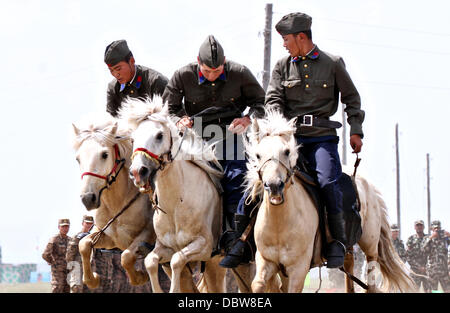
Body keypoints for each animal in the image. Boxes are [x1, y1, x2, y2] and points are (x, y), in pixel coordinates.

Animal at [73, 114, 157, 288]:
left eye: (104, 154)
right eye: (78, 159)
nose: (87, 198)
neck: (118, 203)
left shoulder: (148, 234)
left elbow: (126, 257)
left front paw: (140, 277)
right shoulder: (109, 238)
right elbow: (83, 245)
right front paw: (92, 279)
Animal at [118, 97, 253, 292]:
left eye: (159, 135)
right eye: (133, 139)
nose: (137, 172)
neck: (176, 203)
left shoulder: (204, 245)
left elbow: (177, 260)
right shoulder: (165, 247)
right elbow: (151, 261)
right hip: (213, 266)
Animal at [244, 109, 414, 292]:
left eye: (287, 151)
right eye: (258, 155)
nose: (274, 185)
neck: (279, 223)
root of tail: (367, 184)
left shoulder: (298, 268)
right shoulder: (267, 261)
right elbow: (258, 284)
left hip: (370, 244)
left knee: (371, 279)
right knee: (349, 265)